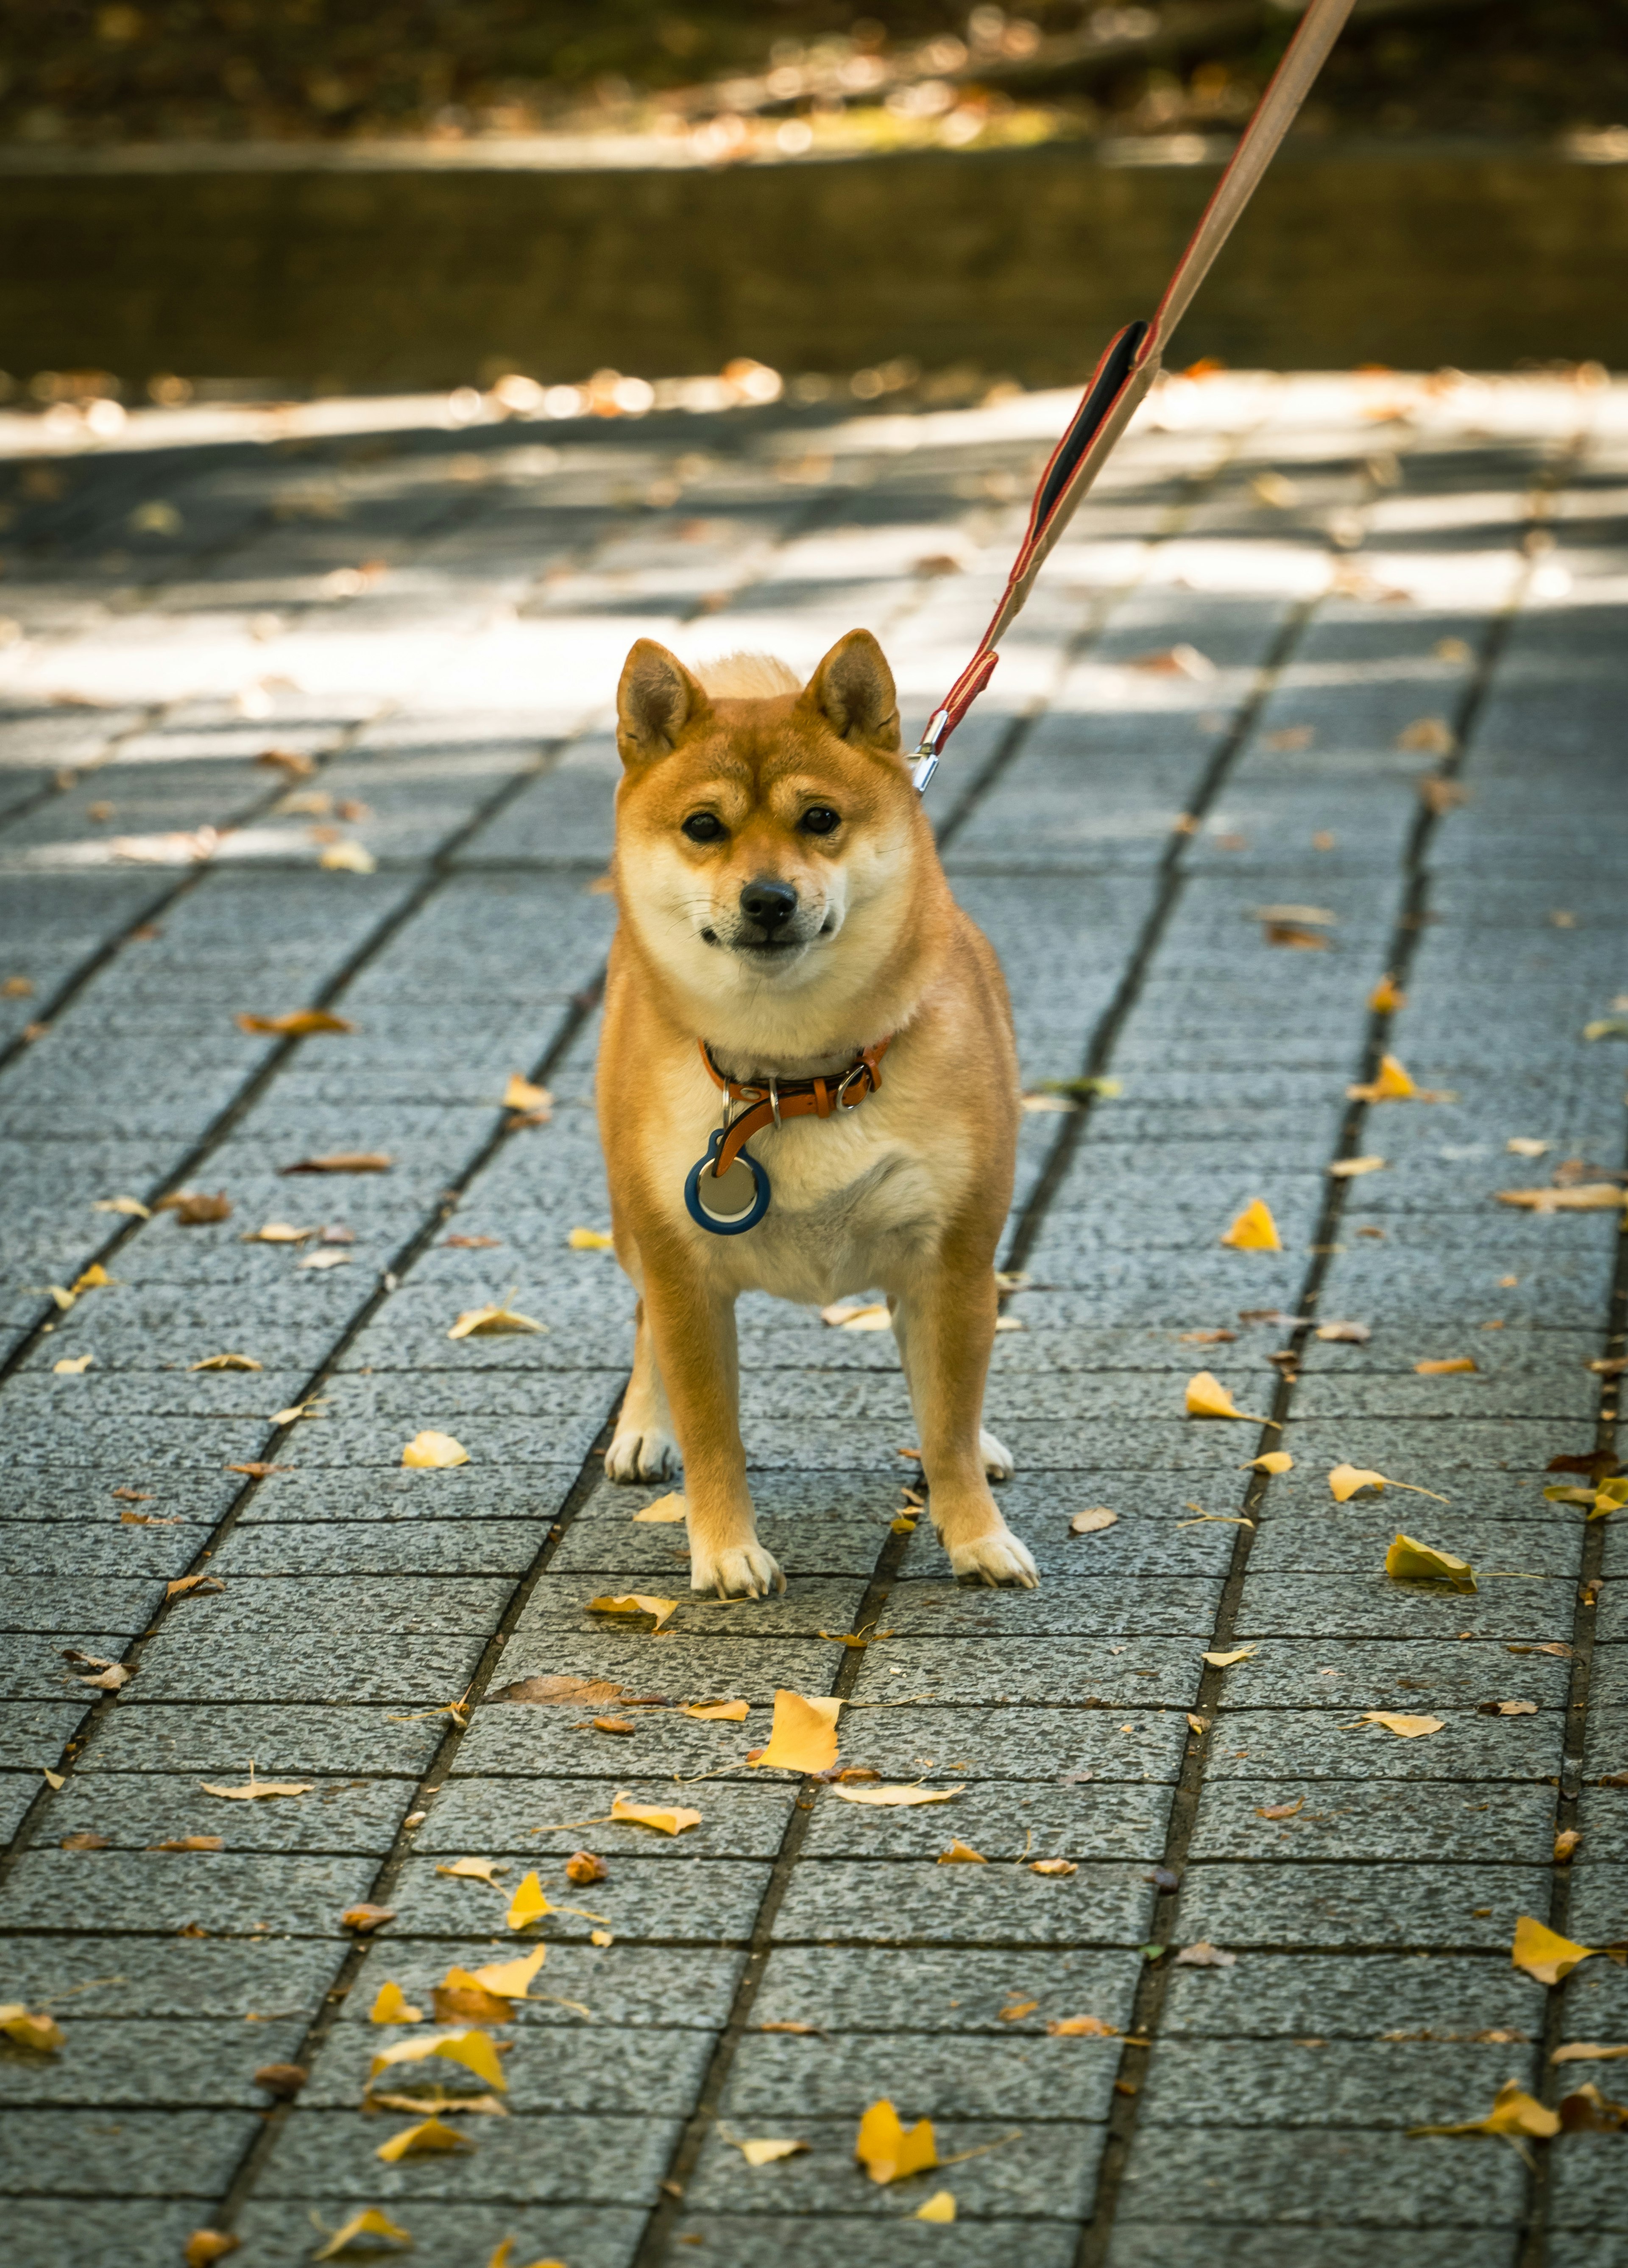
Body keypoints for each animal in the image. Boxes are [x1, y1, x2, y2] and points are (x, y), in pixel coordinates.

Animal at [594, 626, 1038, 1597]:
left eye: (822, 819)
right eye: (704, 827)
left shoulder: (955, 1259)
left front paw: (975, 1534)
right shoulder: (686, 1276)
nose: (769, 898)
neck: (794, 1075)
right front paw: (725, 1548)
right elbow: (713, 1431)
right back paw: (642, 1425)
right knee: (642, 1322)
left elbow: (948, 1417)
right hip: (632, 1221)